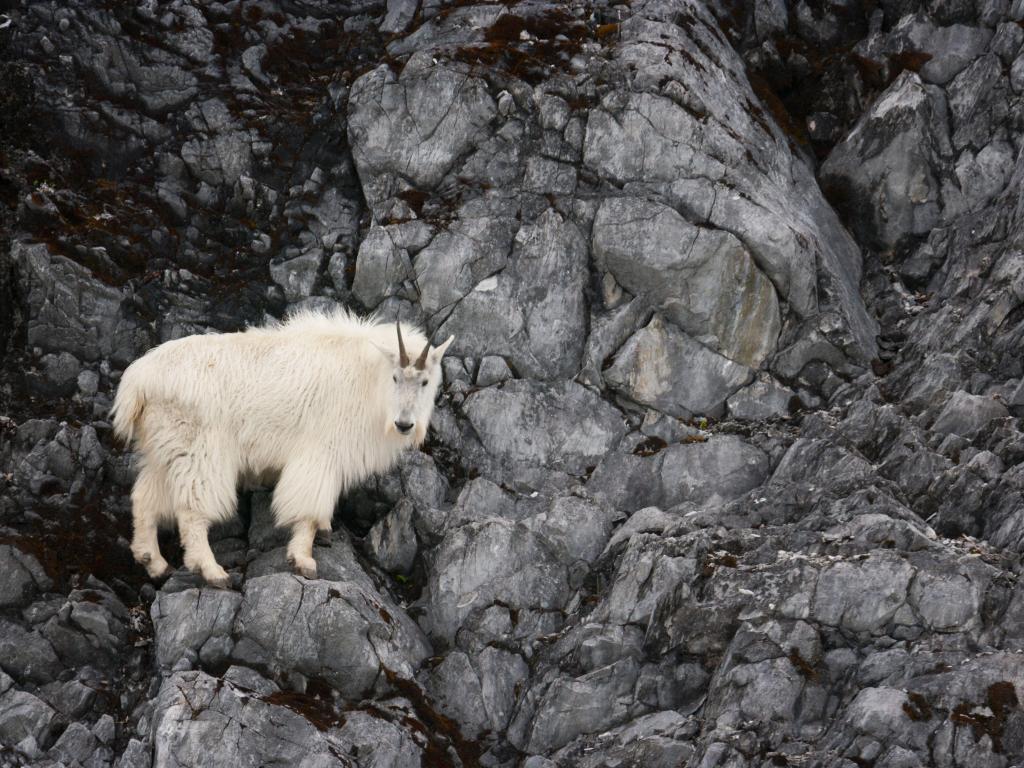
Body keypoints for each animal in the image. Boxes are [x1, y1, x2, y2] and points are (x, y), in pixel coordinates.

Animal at [109, 309, 456, 585]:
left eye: (425, 381)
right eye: (396, 377)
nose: (404, 424)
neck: (369, 380)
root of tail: (137, 382)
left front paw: (325, 531)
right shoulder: (318, 452)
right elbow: (308, 509)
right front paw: (303, 559)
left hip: (164, 448)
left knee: (145, 497)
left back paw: (153, 562)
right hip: (199, 451)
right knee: (192, 510)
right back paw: (212, 572)